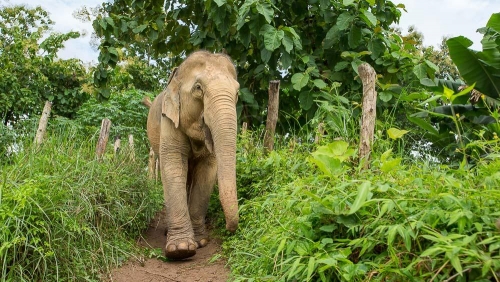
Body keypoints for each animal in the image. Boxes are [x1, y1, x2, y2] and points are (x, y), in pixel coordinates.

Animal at [146, 51, 239, 260]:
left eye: (237, 93)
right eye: (198, 88)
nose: (230, 229)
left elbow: (207, 171)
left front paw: (200, 242)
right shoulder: (169, 119)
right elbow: (172, 164)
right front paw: (180, 249)